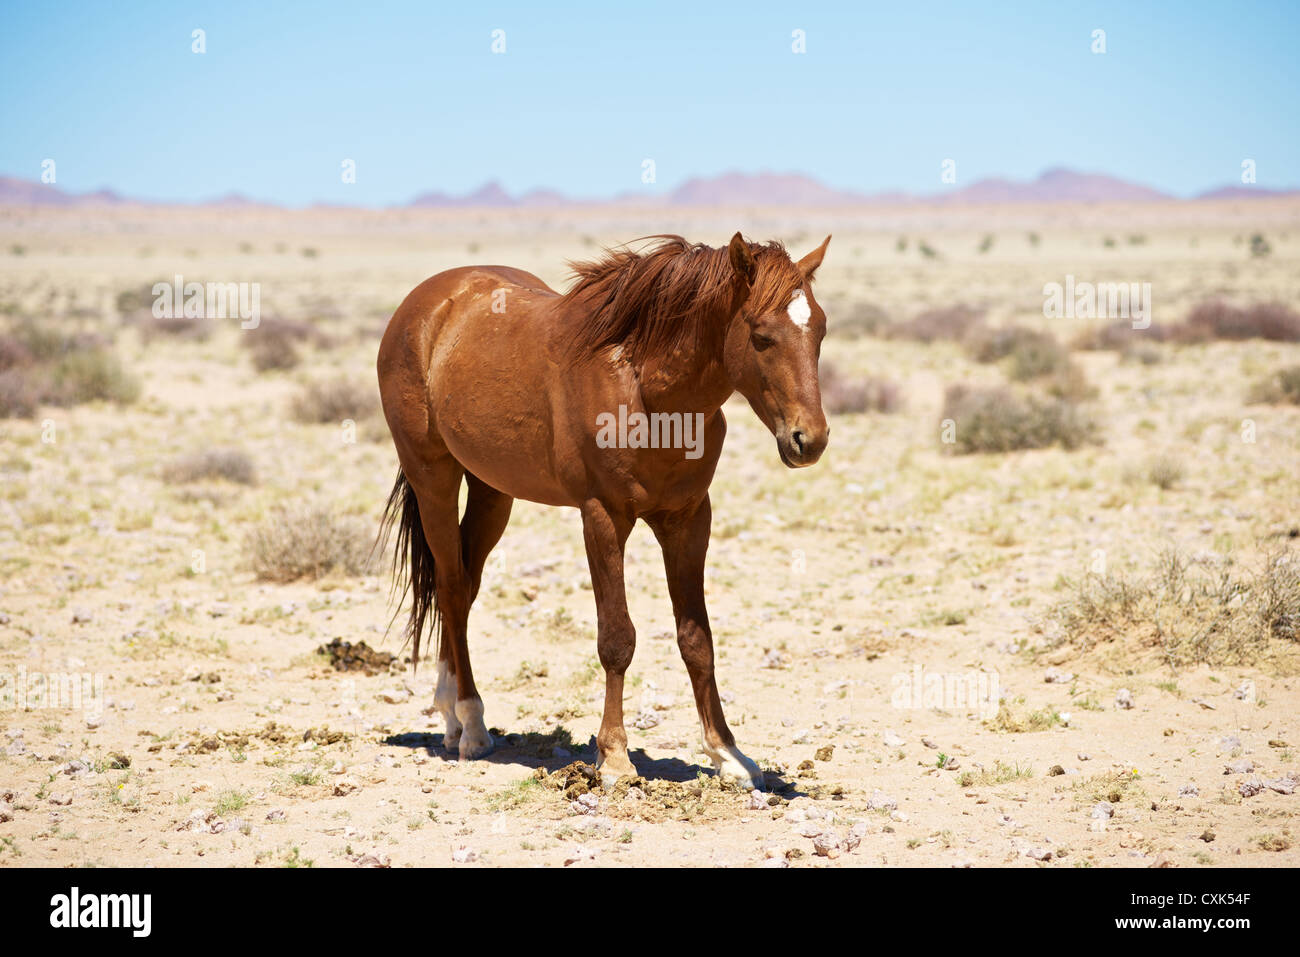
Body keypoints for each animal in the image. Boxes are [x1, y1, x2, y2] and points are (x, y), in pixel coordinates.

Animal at [379, 230, 832, 785]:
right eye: (762, 336)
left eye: (820, 331)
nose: (809, 439)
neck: (648, 394)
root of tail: (429, 303)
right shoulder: (602, 517)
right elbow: (617, 639)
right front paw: (615, 756)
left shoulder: (688, 519)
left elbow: (696, 639)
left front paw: (728, 754)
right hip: (434, 480)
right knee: (448, 583)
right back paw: (471, 723)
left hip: (492, 492)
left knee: (462, 588)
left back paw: (450, 715)